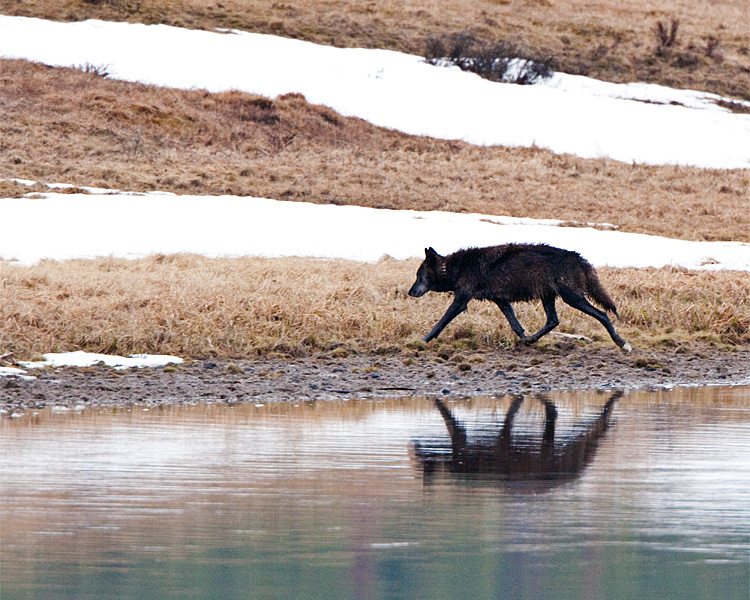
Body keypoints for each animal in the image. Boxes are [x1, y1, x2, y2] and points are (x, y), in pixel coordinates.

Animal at [412, 243, 636, 352]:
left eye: (418, 275)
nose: (410, 292)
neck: (456, 268)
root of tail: (579, 258)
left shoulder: (461, 301)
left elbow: (440, 322)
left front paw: (422, 340)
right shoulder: (501, 301)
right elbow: (515, 325)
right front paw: (524, 339)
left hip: (572, 298)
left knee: (602, 315)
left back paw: (621, 343)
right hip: (549, 297)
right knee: (553, 320)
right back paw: (532, 339)